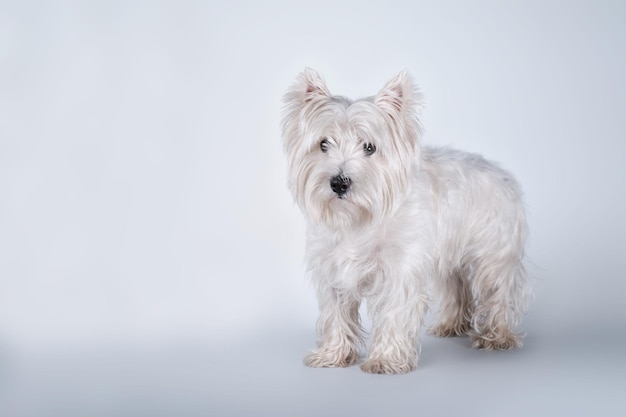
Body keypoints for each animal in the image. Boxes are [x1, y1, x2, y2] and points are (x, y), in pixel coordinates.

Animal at [280, 68, 528, 374]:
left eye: (370, 147)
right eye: (323, 144)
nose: (339, 183)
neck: (360, 217)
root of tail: (500, 172)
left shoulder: (399, 271)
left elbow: (393, 315)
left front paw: (385, 359)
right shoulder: (333, 270)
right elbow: (336, 315)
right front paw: (333, 354)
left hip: (493, 256)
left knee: (499, 291)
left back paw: (497, 336)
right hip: (449, 259)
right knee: (457, 287)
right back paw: (451, 324)